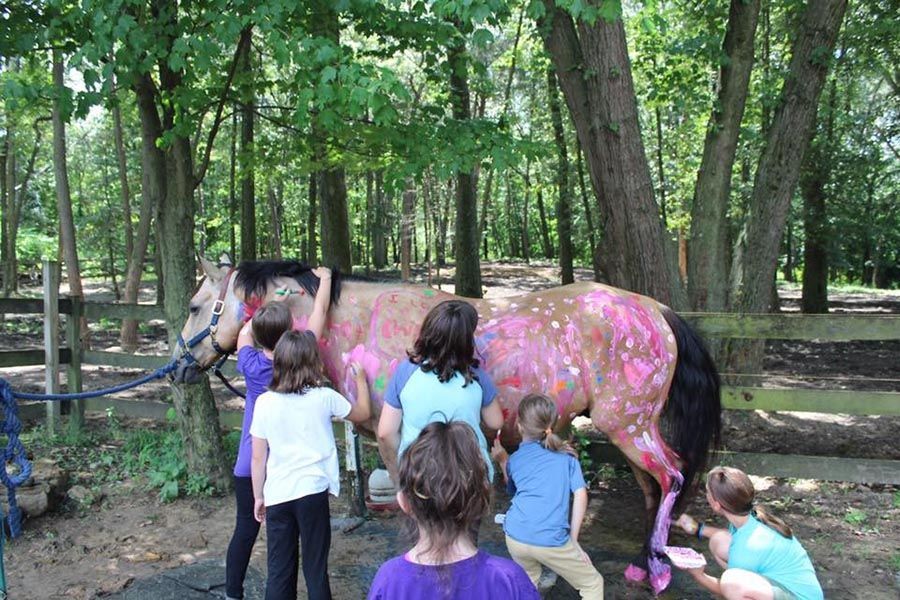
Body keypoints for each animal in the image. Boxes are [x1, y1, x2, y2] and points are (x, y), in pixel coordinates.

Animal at [173, 257, 721, 594]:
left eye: (196, 306)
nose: (177, 369)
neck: (360, 324)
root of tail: (656, 310)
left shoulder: (398, 439)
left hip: (628, 425)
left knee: (672, 476)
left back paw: (657, 570)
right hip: (631, 429)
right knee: (654, 487)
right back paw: (643, 566)